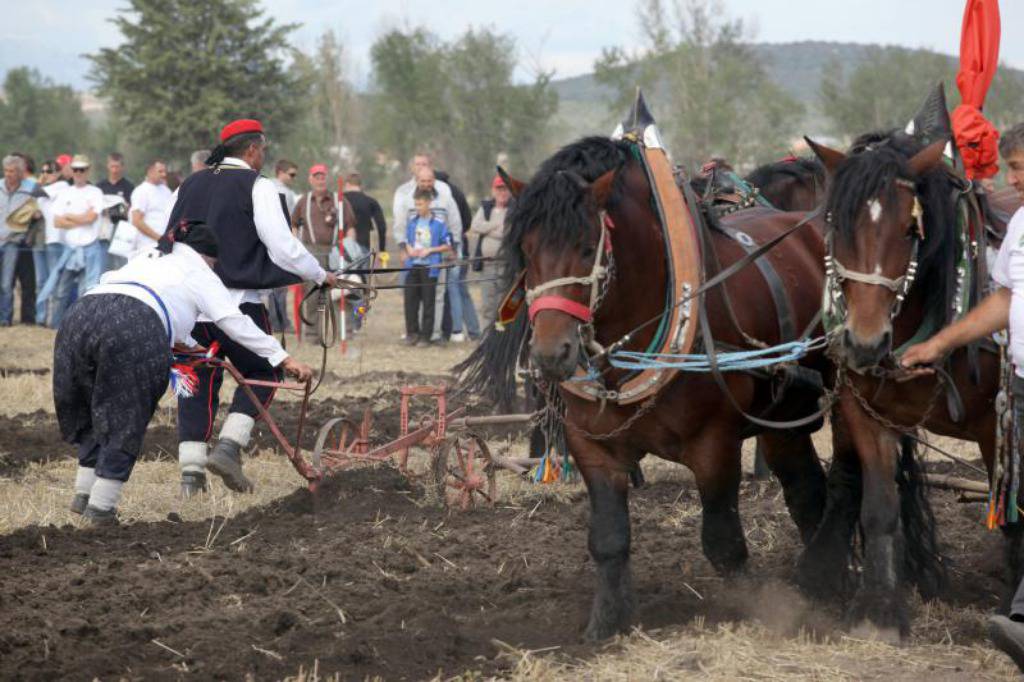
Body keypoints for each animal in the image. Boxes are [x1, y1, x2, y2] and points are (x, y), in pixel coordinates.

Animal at [462, 134, 831, 638]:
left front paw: (757, 610)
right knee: (806, 490)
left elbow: (723, 542)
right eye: (527, 248)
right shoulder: (592, 446)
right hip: (783, 420)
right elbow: (609, 538)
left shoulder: (715, 444)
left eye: (586, 247)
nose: (550, 353)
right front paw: (606, 624)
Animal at [794, 131, 1003, 638]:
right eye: (836, 225)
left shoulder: (997, 425)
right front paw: (879, 609)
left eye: (911, 231)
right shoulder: (866, 413)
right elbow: (880, 508)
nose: (865, 342)